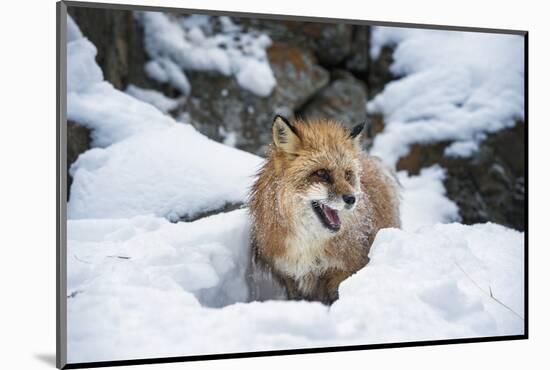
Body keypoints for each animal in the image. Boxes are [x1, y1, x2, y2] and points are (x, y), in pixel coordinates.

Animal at [250, 115, 402, 304]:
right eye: (322, 173)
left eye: (347, 175)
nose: (352, 199)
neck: (308, 244)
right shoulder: (289, 276)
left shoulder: (340, 272)